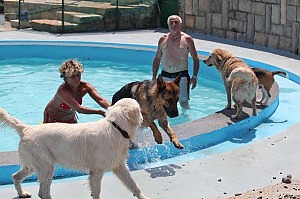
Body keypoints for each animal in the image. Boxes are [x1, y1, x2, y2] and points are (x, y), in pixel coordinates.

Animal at [0, 98, 150, 199]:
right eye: (139, 109)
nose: (144, 117)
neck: (116, 128)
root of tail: (27, 128)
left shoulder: (119, 166)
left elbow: (133, 185)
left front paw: (143, 196)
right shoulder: (97, 170)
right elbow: (96, 192)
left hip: (32, 165)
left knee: (15, 177)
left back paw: (22, 193)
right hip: (46, 166)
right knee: (43, 192)